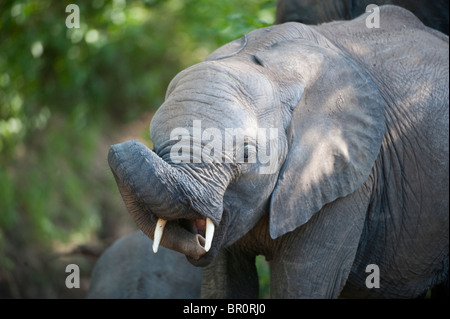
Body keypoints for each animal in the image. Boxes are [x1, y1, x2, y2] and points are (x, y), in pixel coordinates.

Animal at [107, 5, 448, 300]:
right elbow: (224, 285)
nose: (117, 145)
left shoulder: (350, 181)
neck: (270, 66)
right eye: (156, 147)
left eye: (246, 155)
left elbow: (302, 285)